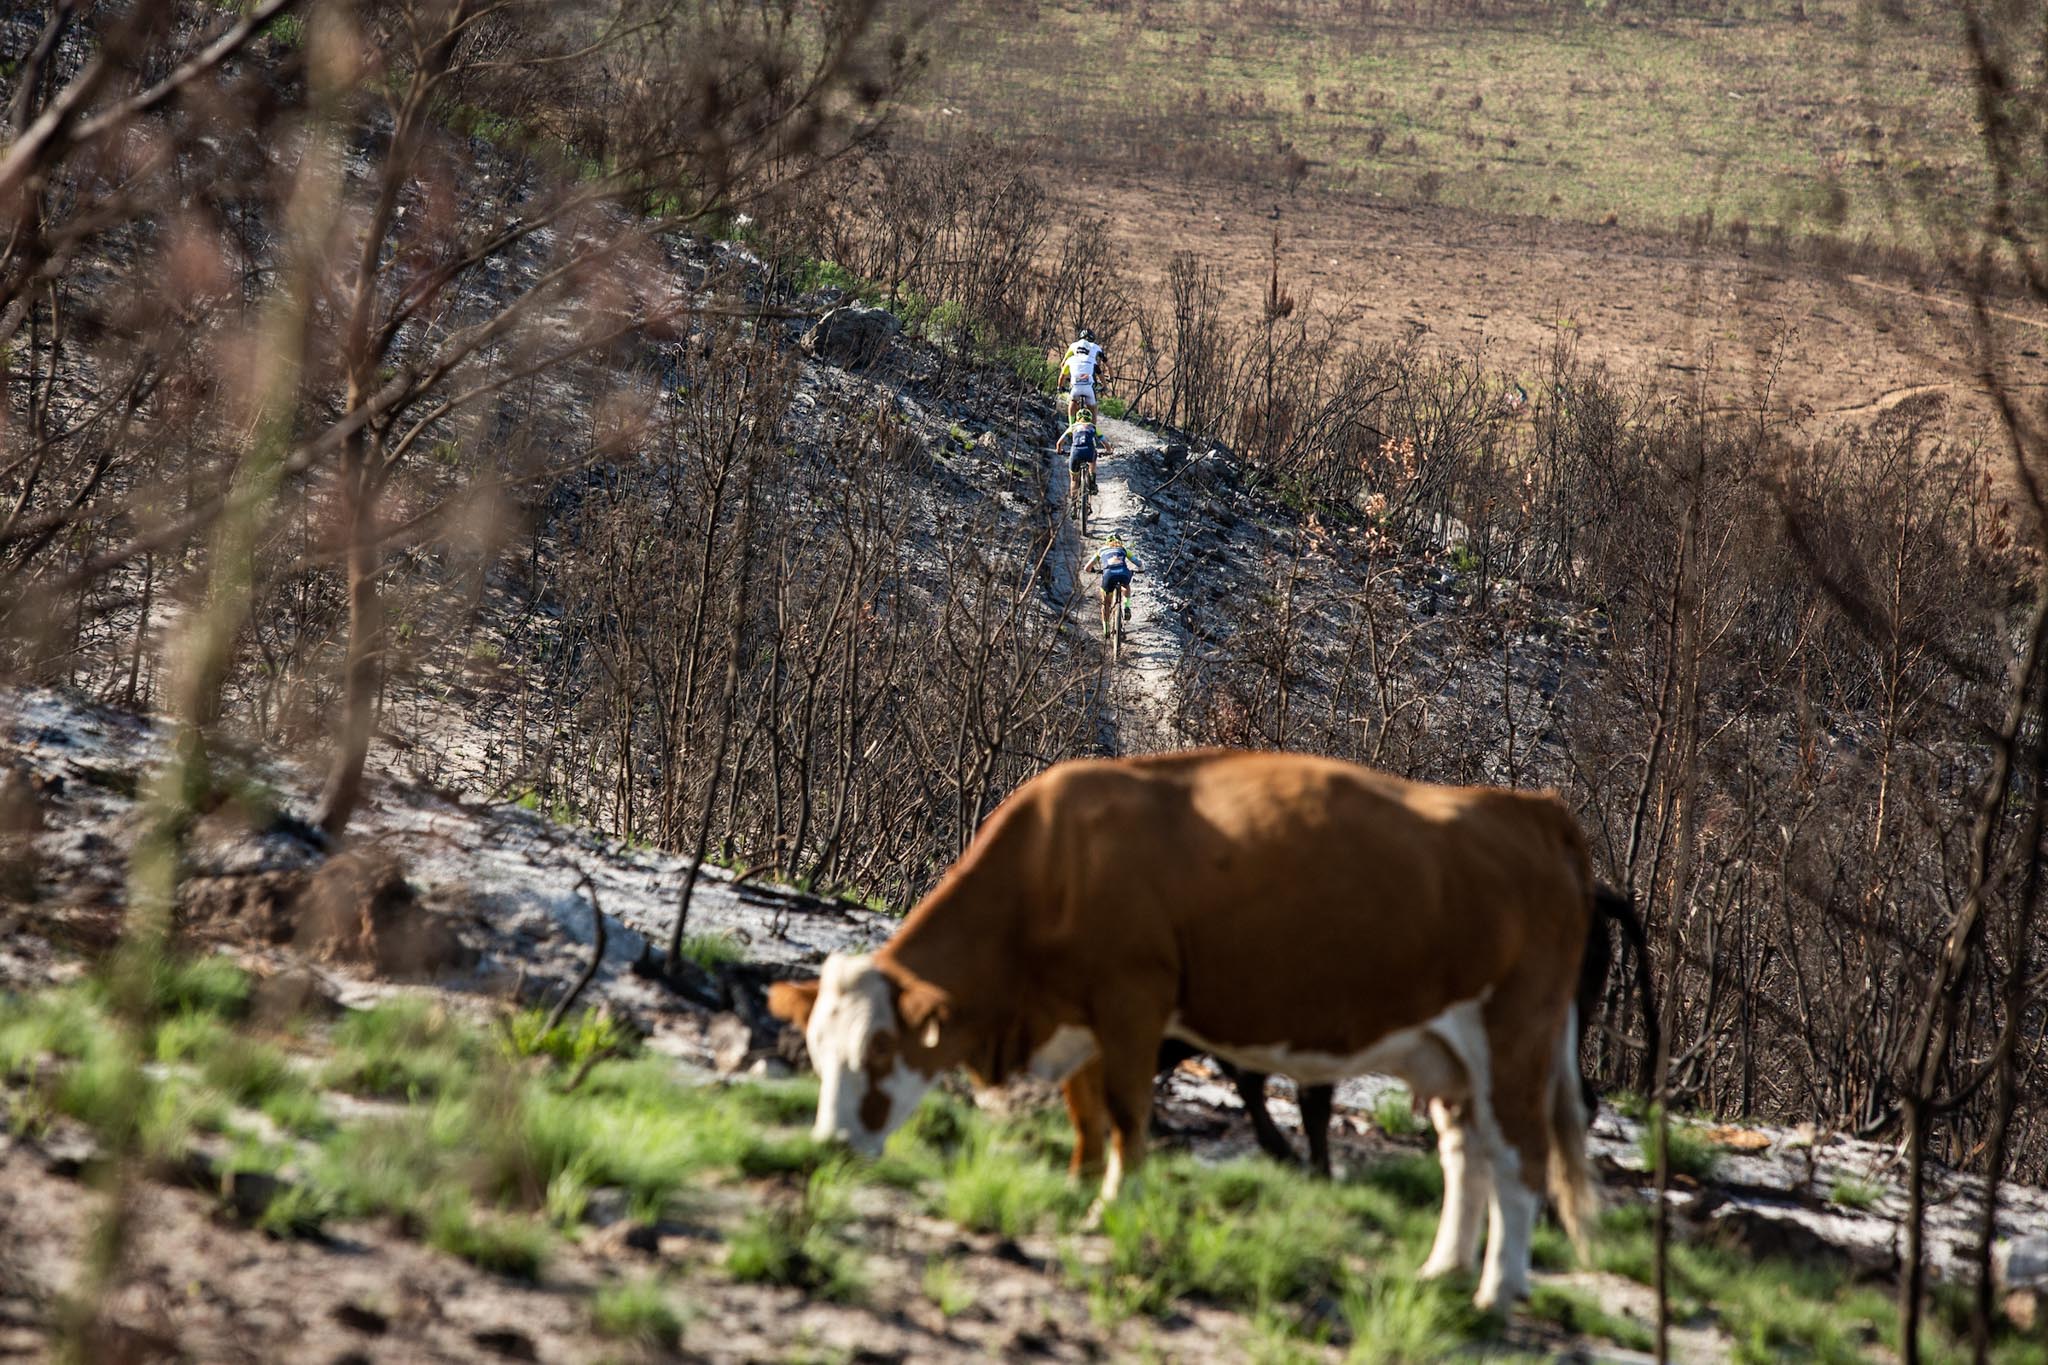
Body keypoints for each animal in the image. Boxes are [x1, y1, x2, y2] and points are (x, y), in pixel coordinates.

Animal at [770, 749, 1597, 1309]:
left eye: (880, 1047)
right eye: (817, 1048)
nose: (829, 1147)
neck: (1052, 866)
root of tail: (1533, 809)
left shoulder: (1132, 999)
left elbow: (1127, 1111)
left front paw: (1111, 1207)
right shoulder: (1082, 1019)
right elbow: (1087, 1116)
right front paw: (1078, 1188)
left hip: (1514, 1039)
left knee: (1520, 1159)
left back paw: (1496, 1291)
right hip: (1450, 1055)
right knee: (1466, 1155)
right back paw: (1442, 1270)